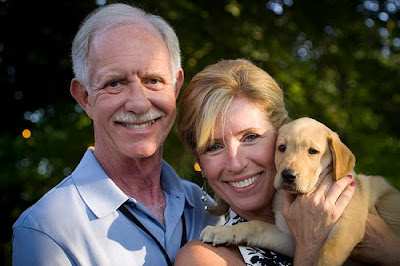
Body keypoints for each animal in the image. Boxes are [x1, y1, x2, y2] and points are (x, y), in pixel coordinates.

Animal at [202, 117, 400, 266]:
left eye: (313, 151)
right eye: (281, 148)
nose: (288, 175)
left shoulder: (347, 227)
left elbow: (325, 255)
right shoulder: (289, 238)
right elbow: (255, 225)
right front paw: (221, 231)